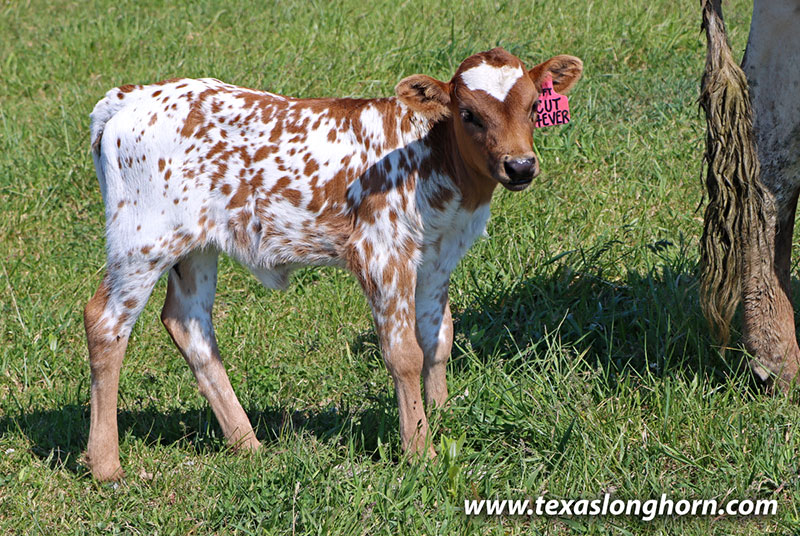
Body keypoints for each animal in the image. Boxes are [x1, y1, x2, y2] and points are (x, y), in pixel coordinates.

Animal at [83, 47, 583, 480]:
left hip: (195, 246)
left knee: (189, 323)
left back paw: (248, 443)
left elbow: (438, 338)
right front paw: (419, 449)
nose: (520, 166)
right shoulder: (382, 252)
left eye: (534, 105)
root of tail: (134, 95)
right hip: (143, 239)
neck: (433, 157)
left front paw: (441, 417)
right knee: (105, 322)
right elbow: (403, 353)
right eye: (468, 114)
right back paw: (106, 465)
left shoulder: (439, 257)